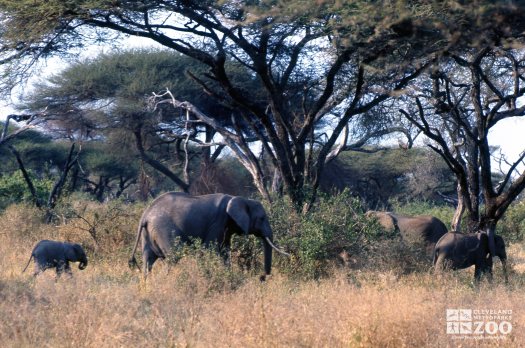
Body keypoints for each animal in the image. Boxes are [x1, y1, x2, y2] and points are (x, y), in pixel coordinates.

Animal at [129, 192, 288, 282]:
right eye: (262, 218)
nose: (262, 277)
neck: (241, 199)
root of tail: (145, 215)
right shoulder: (218, 222)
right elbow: (211, 250)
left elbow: (225, 251)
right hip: (164, 229)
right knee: (173, 257)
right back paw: (166, 281)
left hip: (147, 233)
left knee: (148, 260)